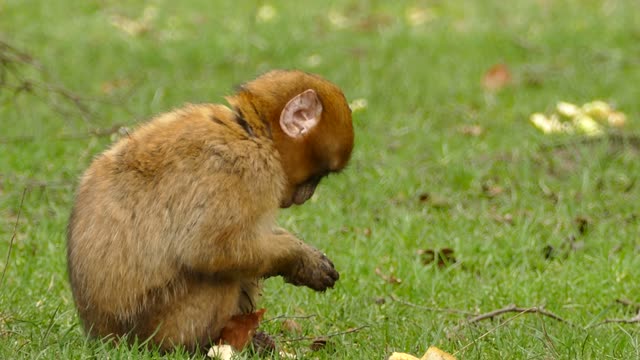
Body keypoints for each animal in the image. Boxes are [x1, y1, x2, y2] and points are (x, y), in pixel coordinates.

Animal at [67, 69, 352, 352]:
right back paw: (210, 344)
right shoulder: (243, 170)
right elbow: (209, 250)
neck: (253, 133)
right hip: (161, 326)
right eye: (319, 176)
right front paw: (298, 259)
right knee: (221, 275)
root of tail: (103, 334)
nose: (307, 196)